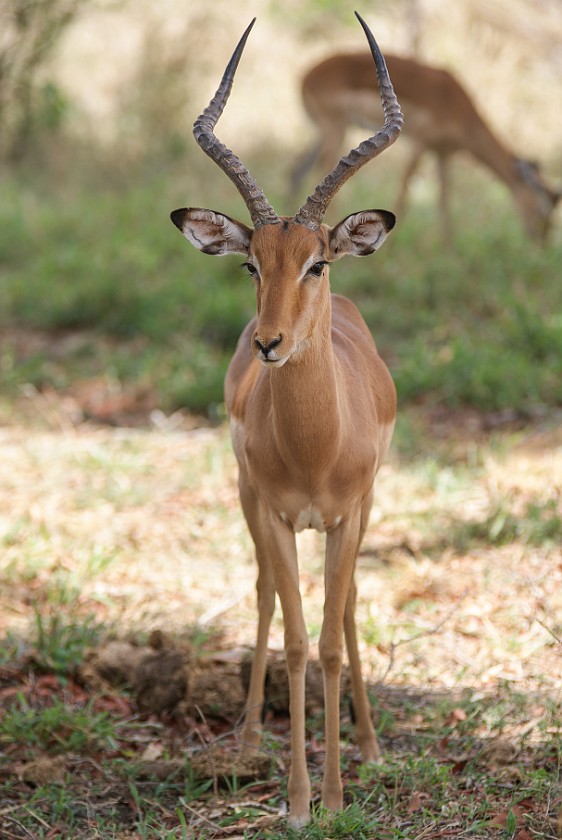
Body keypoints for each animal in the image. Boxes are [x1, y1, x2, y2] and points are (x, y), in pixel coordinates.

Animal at [173, 13, 400, 828]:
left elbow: (330, 641)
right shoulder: (274, 513)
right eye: (253, 265)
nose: (270, 343)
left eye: (317, 263)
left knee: (353, 604)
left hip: (360, 514)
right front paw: (301, 803)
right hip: (249, 502)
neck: (314, 448)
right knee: (267, 593)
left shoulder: (345, 515)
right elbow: (299, 641)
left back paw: (370, 744)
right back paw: (243, 740)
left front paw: (335, 793)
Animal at [290, 52, 556, 241]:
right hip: (336, 130)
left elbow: (444, 201)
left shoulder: (443, 153)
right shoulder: (420, 143)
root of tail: (306, 76)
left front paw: (449, 251)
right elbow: (404, 196)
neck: (457, 105)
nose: (540, 241)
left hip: (326, 133)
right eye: (540, 208)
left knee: (296, 171)